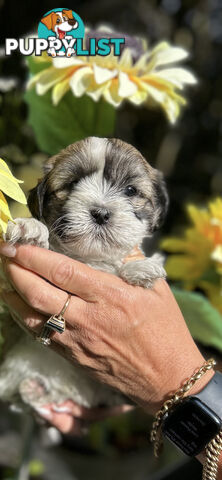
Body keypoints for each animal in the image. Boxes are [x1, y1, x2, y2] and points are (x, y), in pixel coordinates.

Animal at [0, 138, 168, 412]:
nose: (100, 212)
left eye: (130, 190)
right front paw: (31, 230)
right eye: (71, 184)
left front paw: (140, 268)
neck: (89, 259)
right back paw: (33, 389)